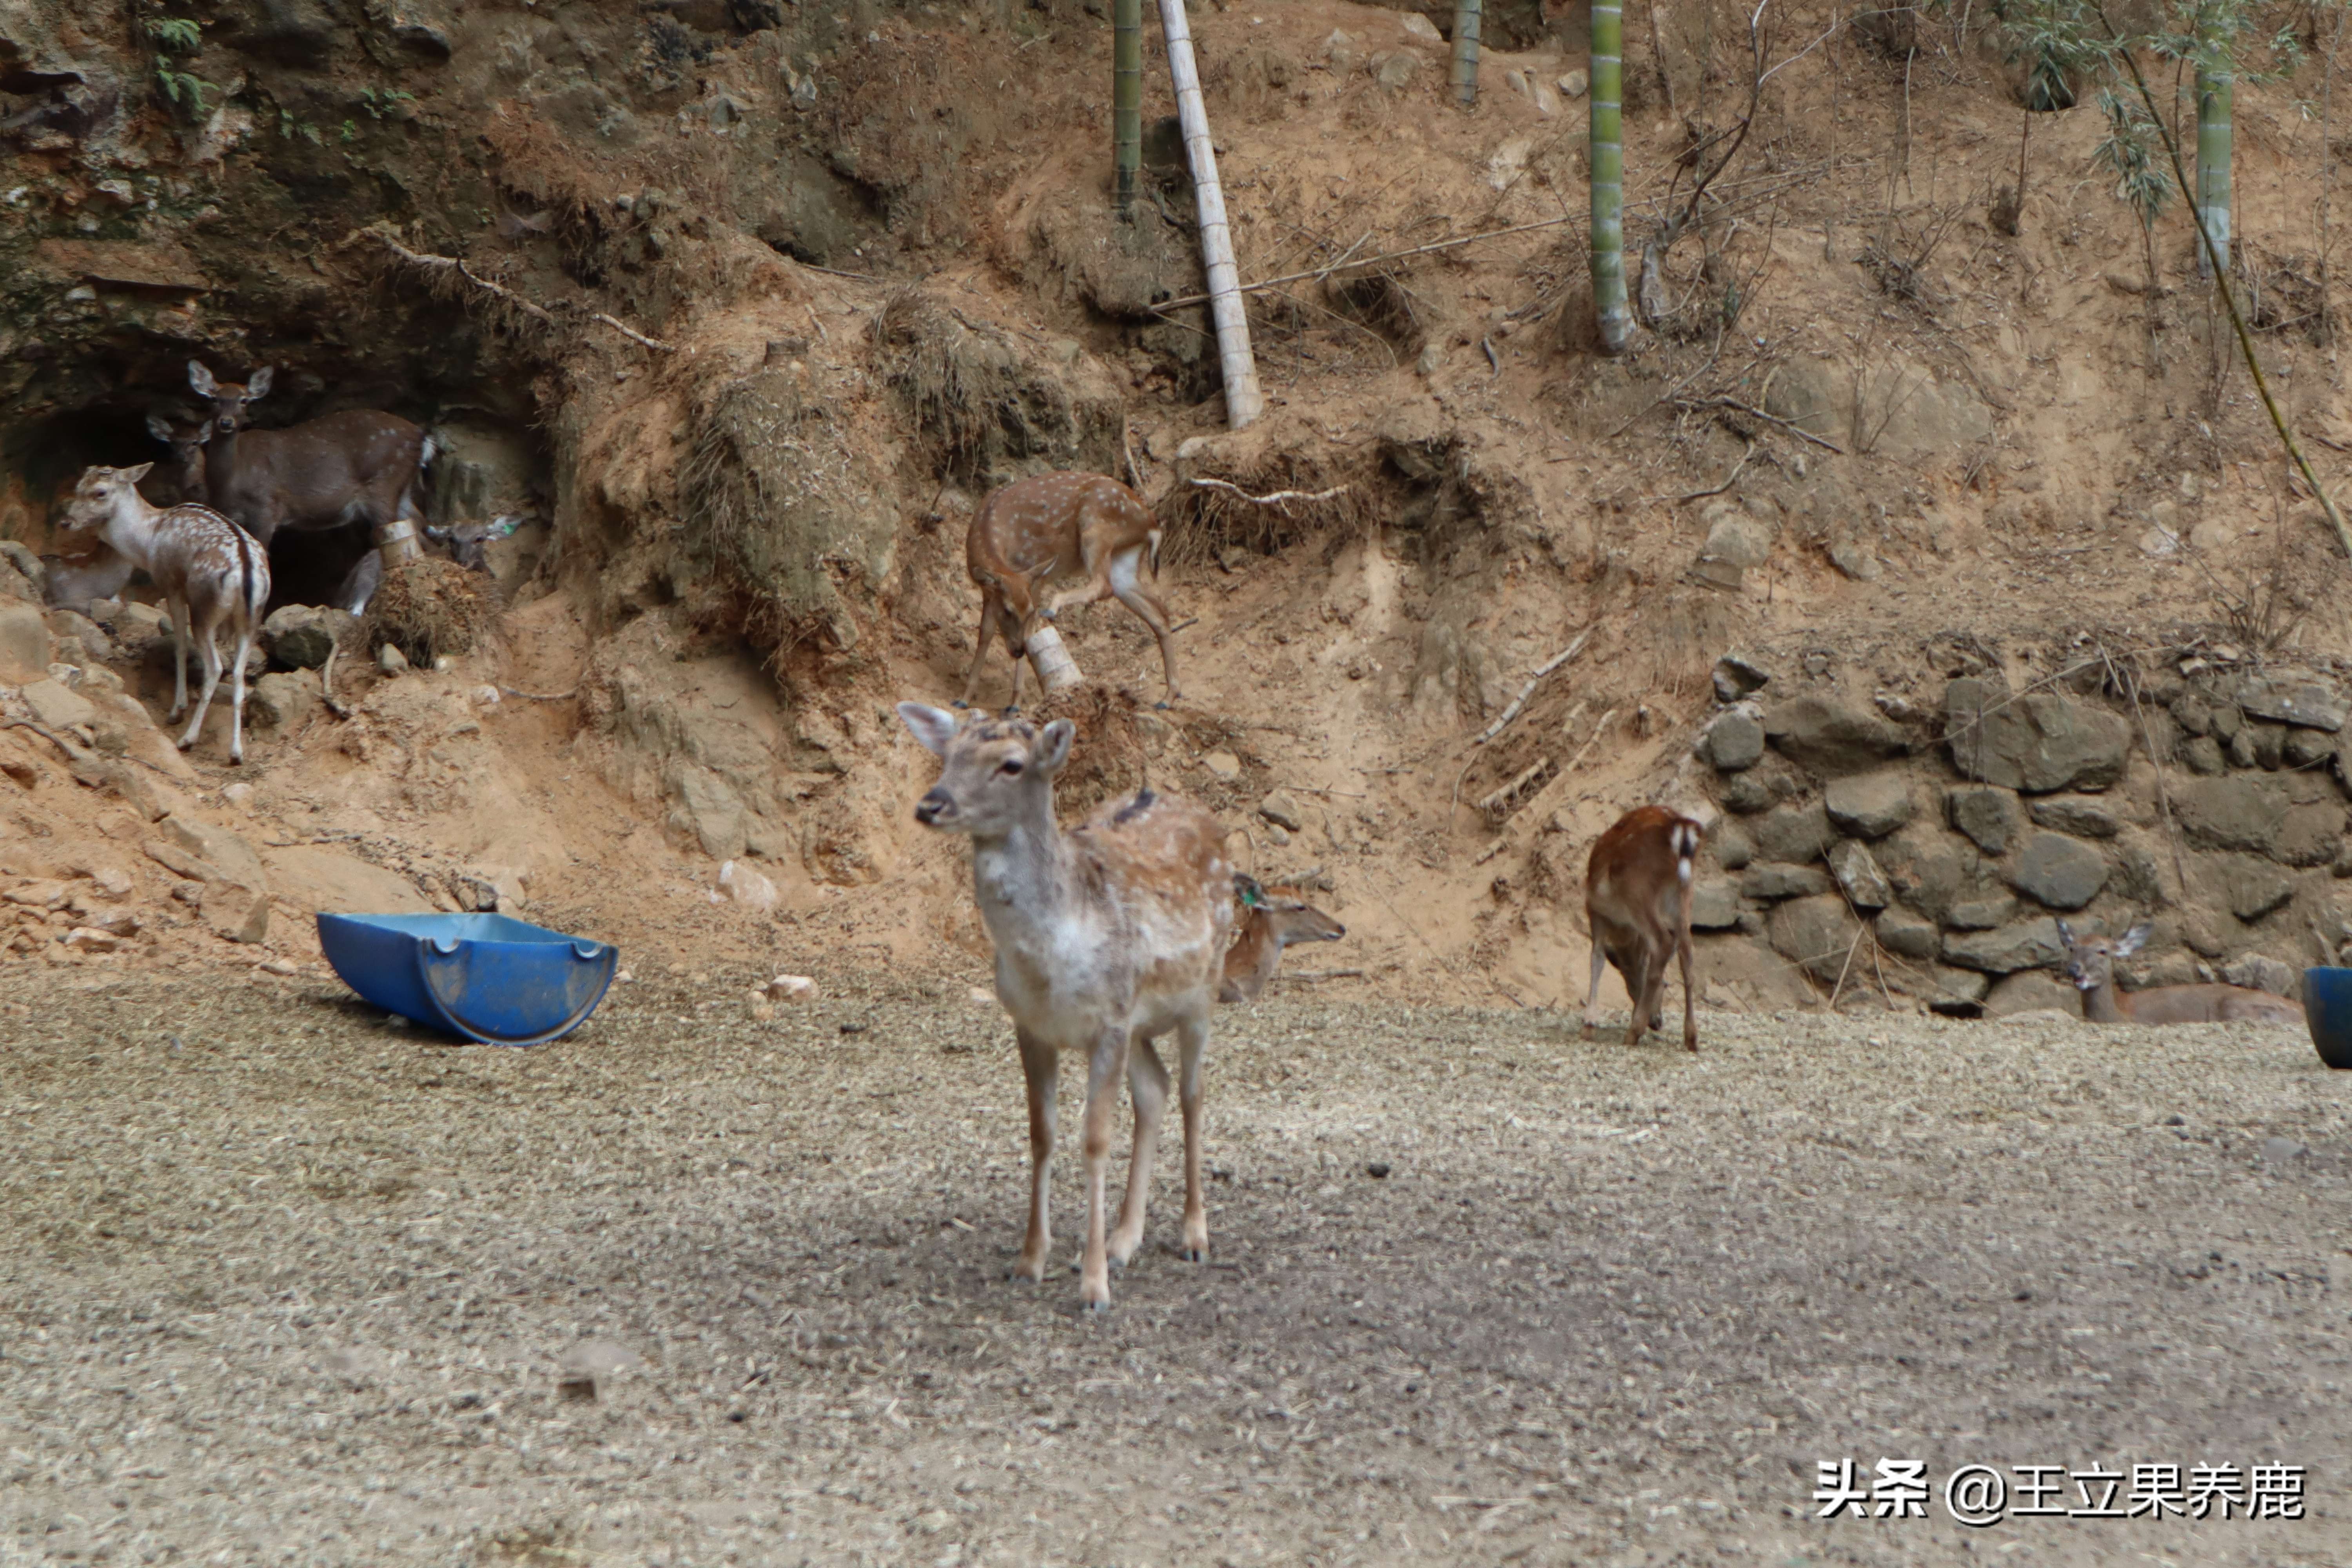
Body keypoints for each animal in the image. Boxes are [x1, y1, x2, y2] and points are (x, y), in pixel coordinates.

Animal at [58, 464, 270, 764]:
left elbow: (180, 643)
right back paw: (236, 752)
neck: (148, 541)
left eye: (100, 492)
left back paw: (188, 738)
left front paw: (177, 709)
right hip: (252, 620)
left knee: (216, 667)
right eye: (78, 487)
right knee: (239, 672)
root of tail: (248, 574)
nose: (66, 522)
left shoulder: (171, 585)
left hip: (205, 610)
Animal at [186, 361, 433, 551]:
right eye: (214, 399)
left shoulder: (267, 506)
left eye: (245, 400)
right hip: (401, 489)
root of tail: (422, 437)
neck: (231, 479)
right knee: (421, 527)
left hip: (383, 483)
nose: (226, 422)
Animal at [899, 705, 1235, 1312]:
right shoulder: (1032, 1025)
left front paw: (1094, 1287)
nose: (931, 804)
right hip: (1140, 1020)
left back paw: (1194, 1236)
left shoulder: (1109, 1024)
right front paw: (1031, 1261)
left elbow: (1095, 1140)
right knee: (1156, 1089)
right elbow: (1042, 1134)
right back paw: (1126, 1240)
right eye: (949, 754)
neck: (1050, 958)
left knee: (1193, 1095)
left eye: (1011, 765)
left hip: (1204, 988)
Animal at [958, 472, 1182, 712]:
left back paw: (1053, 607)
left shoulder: (1036, 577)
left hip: (1096, 529)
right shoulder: (991, 593)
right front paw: (964, 698)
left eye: (1028, 611)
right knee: (1159, 612)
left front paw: (1015, 703)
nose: (1018, 651)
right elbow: (985, 633)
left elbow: (1028, 632)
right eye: (1008, 611)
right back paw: (1168, 697)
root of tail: (1153, 527)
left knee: (1104, 585)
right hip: (1125, 562)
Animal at [1581, 805, 1704, 1051]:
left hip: (1638, 891)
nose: (1657, 1022)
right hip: (1684, 895)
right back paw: (1692, 1038)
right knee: (1687, 956)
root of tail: (1681, 828)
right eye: (1667, 985)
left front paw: (1589, 1024)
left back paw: (1633, 1032)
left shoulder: (1595, 911)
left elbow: (1596, 959)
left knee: (1664, 943)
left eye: (1629, 982)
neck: (1622, 930)